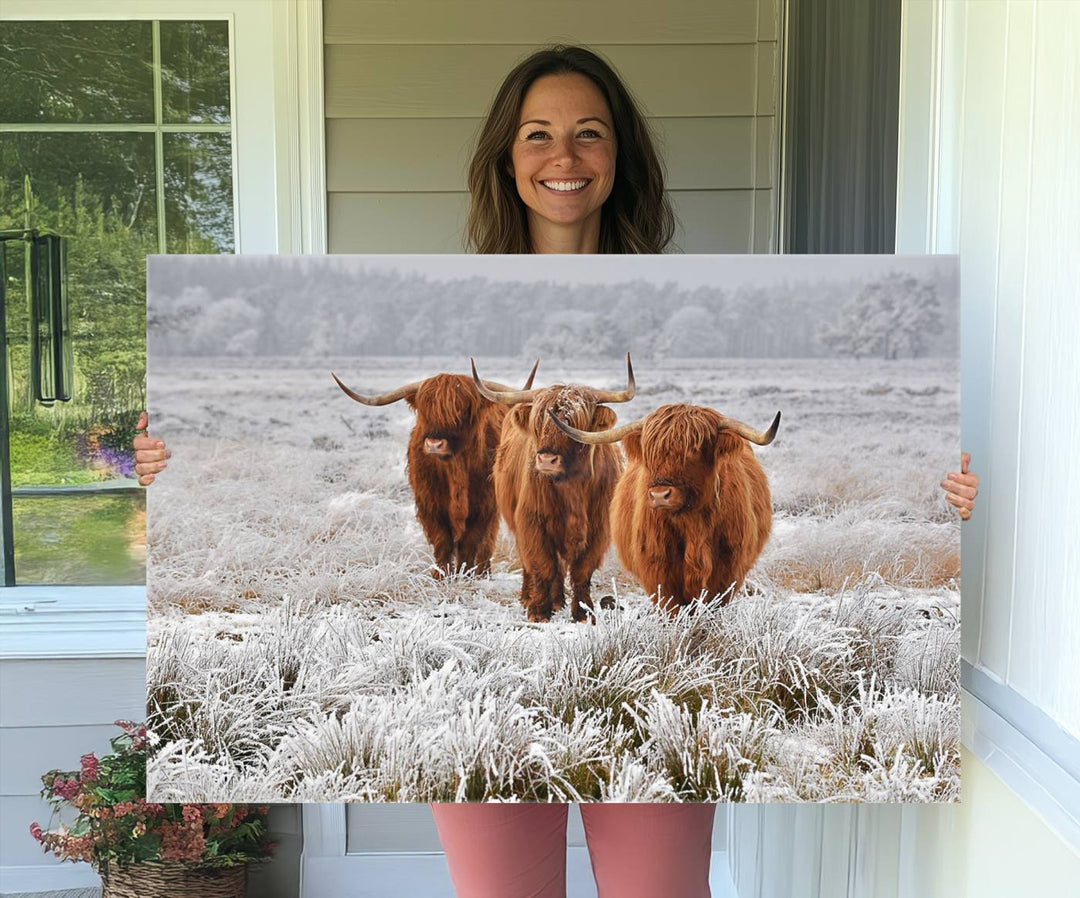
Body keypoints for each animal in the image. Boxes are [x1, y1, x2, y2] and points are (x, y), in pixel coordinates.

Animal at [332, 360, 540, 579]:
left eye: (462, 409)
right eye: (425, 410)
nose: (434, 444)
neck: (455, 469)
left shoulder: (484, 505)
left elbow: (470, 543)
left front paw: (464, 575)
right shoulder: (430, 505)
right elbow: (442, 542)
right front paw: (440, 576)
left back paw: (483, 573)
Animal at [470, 354, 635, 622]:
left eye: (574, 424)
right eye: (538, 423)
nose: (546, 459)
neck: (572, 487)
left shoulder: (598, 529)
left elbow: (581, 571)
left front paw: (583, 612)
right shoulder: (532, 522)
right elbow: (543, 565)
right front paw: (538, 611)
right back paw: (531, 598)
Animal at [552, 404, 781, 613]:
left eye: (694, 449)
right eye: (650, 452)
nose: (660, 495)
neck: (693, 524)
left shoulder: (728, 570)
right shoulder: (658, 569)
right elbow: (671, 608)